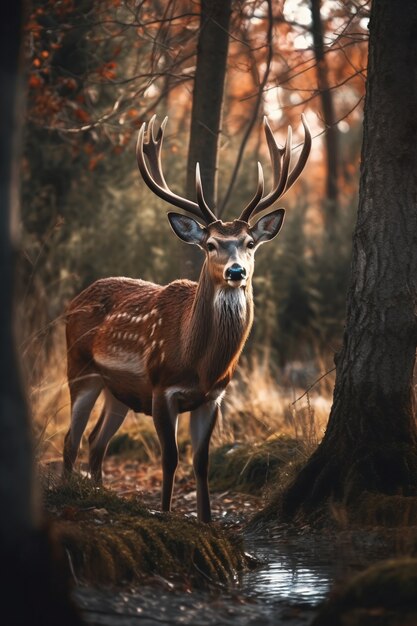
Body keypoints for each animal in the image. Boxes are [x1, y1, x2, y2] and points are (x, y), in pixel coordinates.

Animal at [61, 113, 308, 520]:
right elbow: (170, 459)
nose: (236, 271)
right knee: (71, 439)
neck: (200, 363)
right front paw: (164, 513)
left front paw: (206, 521)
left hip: (118, 390)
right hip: (79, 368)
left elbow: (201, 462)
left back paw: (99, 494)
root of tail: (73, 301)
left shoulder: (214, 397)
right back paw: (70, 495)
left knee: (96, 442)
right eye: (210, 244)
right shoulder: (163, 388)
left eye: (250, 243)